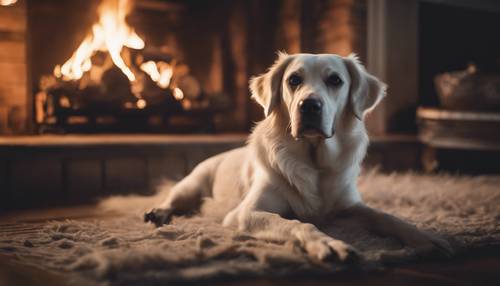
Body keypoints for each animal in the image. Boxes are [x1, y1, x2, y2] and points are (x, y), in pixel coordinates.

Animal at [144, 52, 454, 262]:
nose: (310, 105)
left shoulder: (350, 205)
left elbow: (387, 217)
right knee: (173, 198)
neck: (314, 160)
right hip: (192, 183)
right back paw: (158, 213)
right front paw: (329, 244)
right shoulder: (246, 212)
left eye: (335, 80)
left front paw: (428, 238)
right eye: (293, 80)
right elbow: (296, 223)